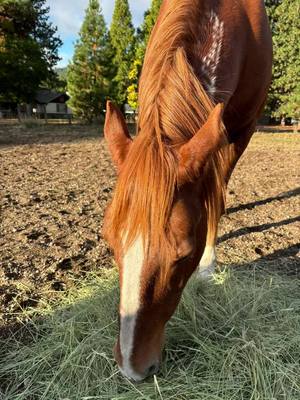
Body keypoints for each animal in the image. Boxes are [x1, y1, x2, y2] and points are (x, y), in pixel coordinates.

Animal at [104, 0, 274, 382]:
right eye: (110, 242)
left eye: (183, 255)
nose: (132, 368)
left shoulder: (242, 128)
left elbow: (217, 195)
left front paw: (208, 266)